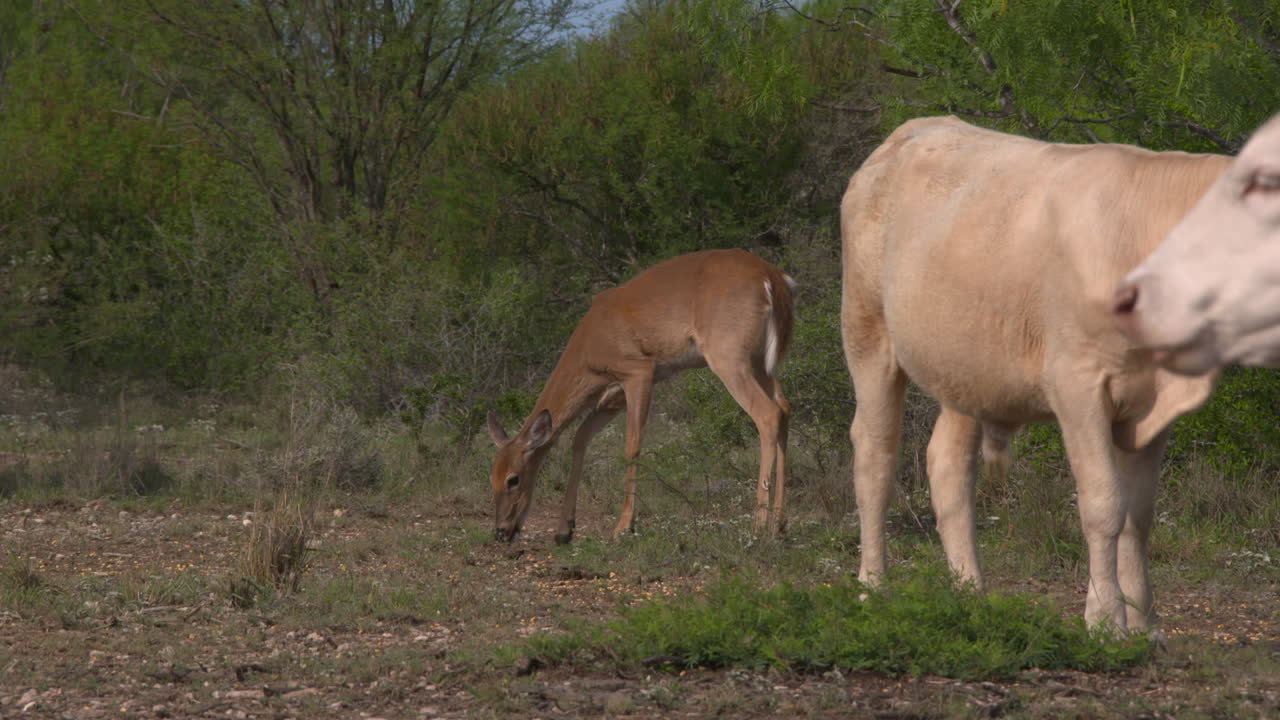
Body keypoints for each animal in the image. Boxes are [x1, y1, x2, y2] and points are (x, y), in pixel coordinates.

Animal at [841, 116, 1225, 632]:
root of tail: (915, 128)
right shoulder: (1077, 385)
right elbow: (1103, 504)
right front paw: (1106, 622)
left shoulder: (1153, 405)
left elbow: (1138, 516)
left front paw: (1146, 627)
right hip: (866, 329)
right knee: (875, 453)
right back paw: (872, 588)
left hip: (966, 363)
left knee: (948, 464)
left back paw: (971, 595)